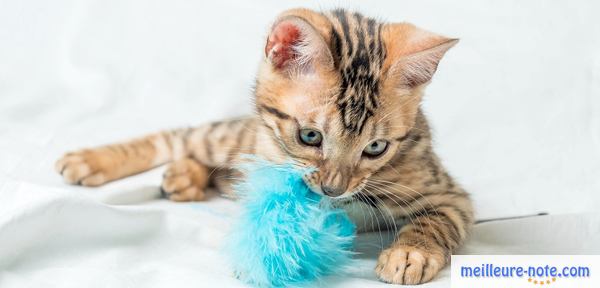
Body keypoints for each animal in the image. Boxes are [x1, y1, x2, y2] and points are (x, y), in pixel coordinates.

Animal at [57, 7, 478, 284]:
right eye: (310, 136)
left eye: (375, 147)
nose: (333, 189)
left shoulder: (448, 193)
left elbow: (437, 220)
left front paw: (411, 252)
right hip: (234, 139)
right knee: (176, 138)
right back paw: (92, 160)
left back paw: (186, 177)